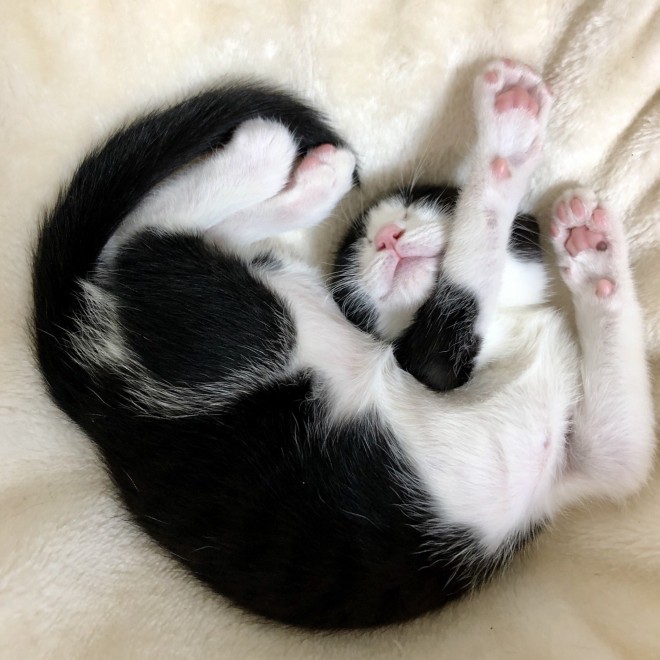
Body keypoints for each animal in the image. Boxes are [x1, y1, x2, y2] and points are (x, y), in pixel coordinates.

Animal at [32, 59, 655, 629]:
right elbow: (470, 263)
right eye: (358, 247)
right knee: (147, 236)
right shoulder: (432, 361)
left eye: (426, 202)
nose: (386, 236)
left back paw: (314, 179)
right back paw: (269, 150)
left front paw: (593, 254)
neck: (514, 328)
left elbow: (625, 454)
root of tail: (86, 384)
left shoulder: (583, 466)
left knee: (183, 241)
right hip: (238, 329)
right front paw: (507, 138)